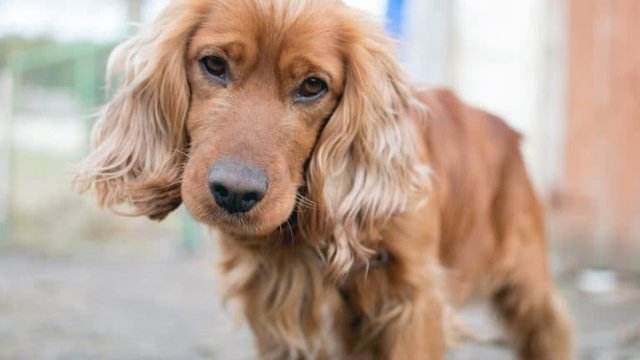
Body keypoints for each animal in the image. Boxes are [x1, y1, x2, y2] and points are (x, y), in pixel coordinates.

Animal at [74, 0, 568, 358]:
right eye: (213, 64)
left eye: (313, 85)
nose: (234, 193)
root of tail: (507, 130)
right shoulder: (277, 310)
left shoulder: (413, 306)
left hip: (527, 285)